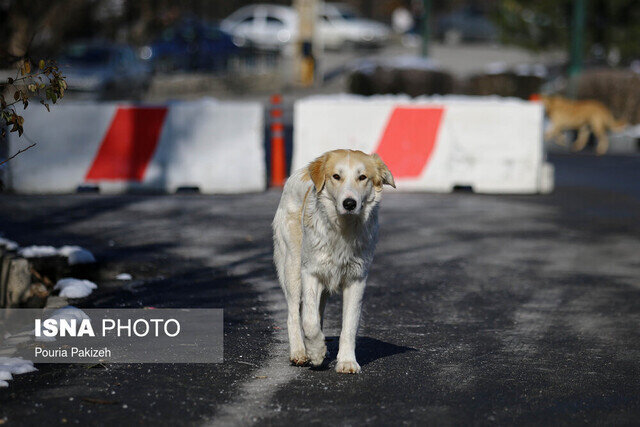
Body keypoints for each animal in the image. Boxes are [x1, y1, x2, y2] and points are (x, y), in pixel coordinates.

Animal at [272, 150, 396, 374]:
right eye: (336, 177)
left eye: (362, 177)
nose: (349, 203)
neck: (343, 230)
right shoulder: (310, 273)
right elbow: (309, 321)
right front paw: (316, 352)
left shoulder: (357, 280)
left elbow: (349, 325)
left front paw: (346, 361)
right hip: (292, 268)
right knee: (294, 313)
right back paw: (299, 352)